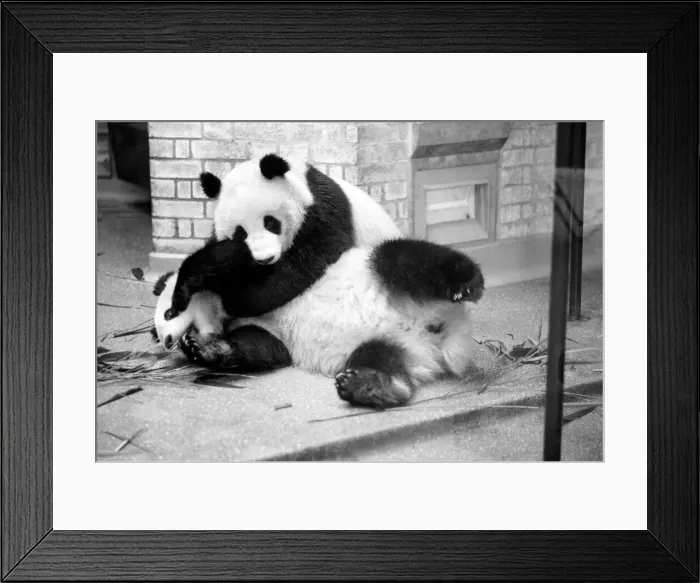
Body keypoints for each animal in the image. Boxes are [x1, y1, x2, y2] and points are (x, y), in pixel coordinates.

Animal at [158, 153, 485, 408]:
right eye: (240, 231)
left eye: (270, 222)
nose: (265, 259)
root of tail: (443, 333)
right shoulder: (269, 330)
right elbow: (259, 348)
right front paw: (203, 348)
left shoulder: (323, 212)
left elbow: (295, 267)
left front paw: (209, 288)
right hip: (399, 345)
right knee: (381, 356)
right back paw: (370, 385)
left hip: (381, 270)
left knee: (401, 258)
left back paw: (466, 282)